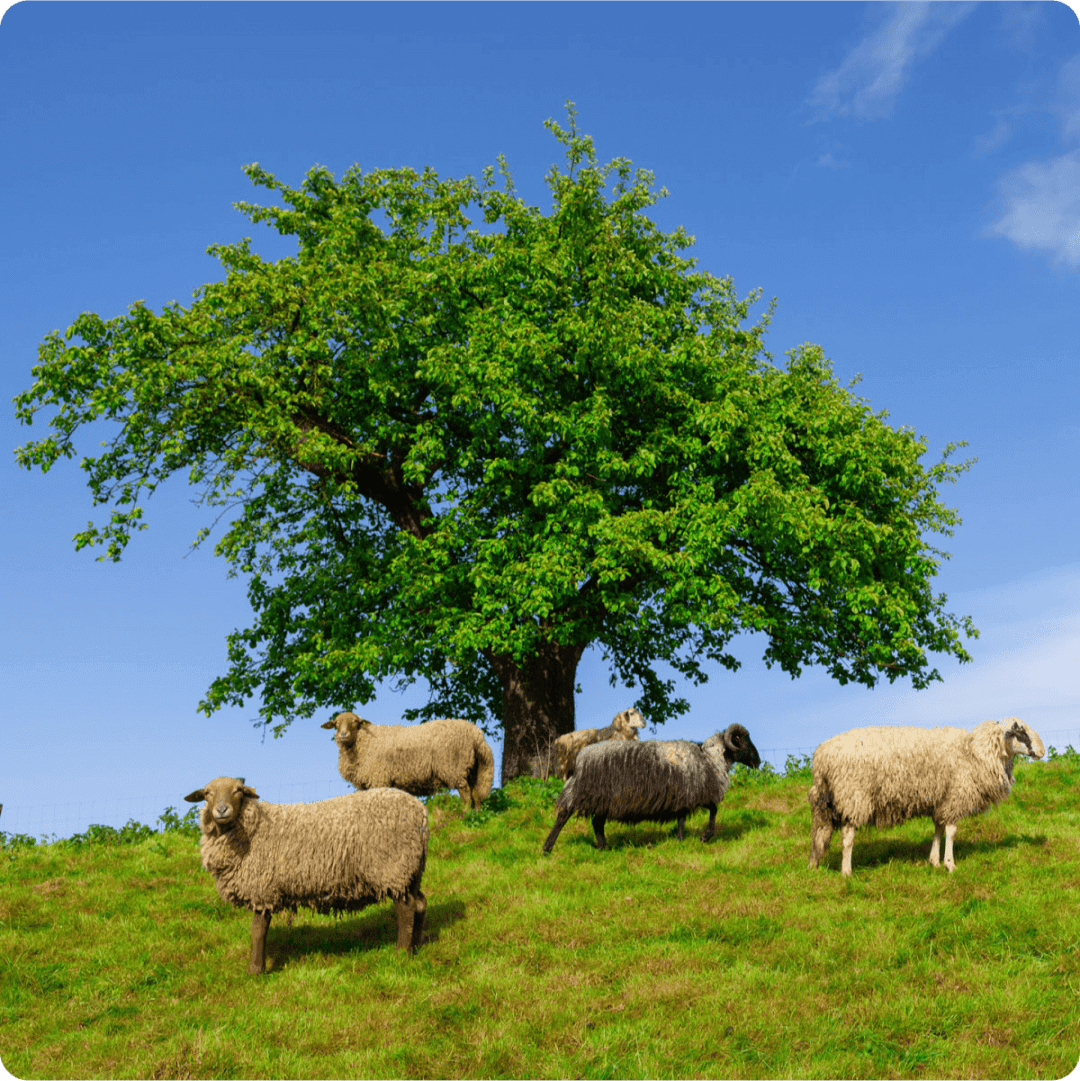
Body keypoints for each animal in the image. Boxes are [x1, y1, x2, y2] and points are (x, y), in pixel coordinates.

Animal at [183, 777, 428, 974]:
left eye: (238, 791)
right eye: (207, 793)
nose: (222, 810)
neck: (252, 830)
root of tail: (420, 811)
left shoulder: (263, 889)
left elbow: (258, 931)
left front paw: (255, 970)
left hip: (394, 868)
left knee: (406, 909)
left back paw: (401, 954)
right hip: (412, 869)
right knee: (419, 904)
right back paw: (416, 947)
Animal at [321, 712, 495, 810]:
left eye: (355, 723)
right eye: (336, 724)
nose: (342, 735)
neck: (364, 742)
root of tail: (476, 733)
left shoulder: (379, 778)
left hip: (454, 766)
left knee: (466, 794)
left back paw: (464, 816)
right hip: (472, 768)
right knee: (476, 793)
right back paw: (476, 815)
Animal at [542, 724, 761, 852]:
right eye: (744, 741)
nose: (758, 761)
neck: (709, 758)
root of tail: (579, 758)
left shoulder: (684, 796)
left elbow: (683, 819)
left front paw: (680, 840)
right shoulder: (695, 792)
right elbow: (713, 810)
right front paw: (705, 837)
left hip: (603, 800)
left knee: (597, 823)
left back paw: (604, 848)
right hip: (586, 792)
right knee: (564, 815)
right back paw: (548, 847)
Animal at [807, 718, 1046, 876]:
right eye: (1020, 732)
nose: (1042, 752)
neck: (976, 752)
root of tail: (821, 757)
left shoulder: (941, 800)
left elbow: (938, 829)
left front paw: (934, 861)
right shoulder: (955, 796)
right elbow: (951, 832)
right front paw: (950, 864)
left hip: (825, 802)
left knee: (819, 833)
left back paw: (813, 866)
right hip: (853, 796)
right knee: (848, 837)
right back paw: (847, 872)